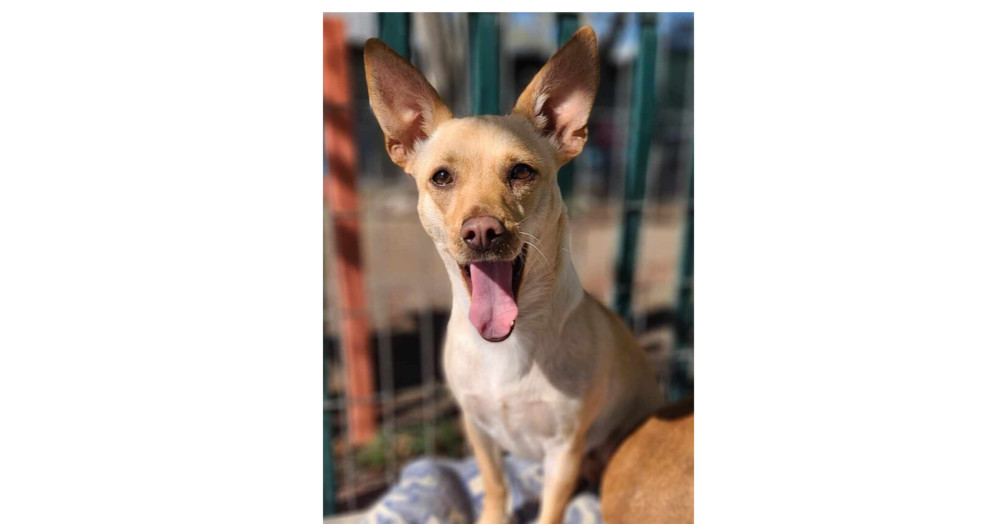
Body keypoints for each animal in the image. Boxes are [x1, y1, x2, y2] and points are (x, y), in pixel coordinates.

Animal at [364, 28, 668, 524]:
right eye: (441, 177)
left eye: (521, 171)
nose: (482, 231)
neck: (510, 343)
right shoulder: (478, 429)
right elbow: (495, 485)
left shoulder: (563, 450)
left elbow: (550, 509)